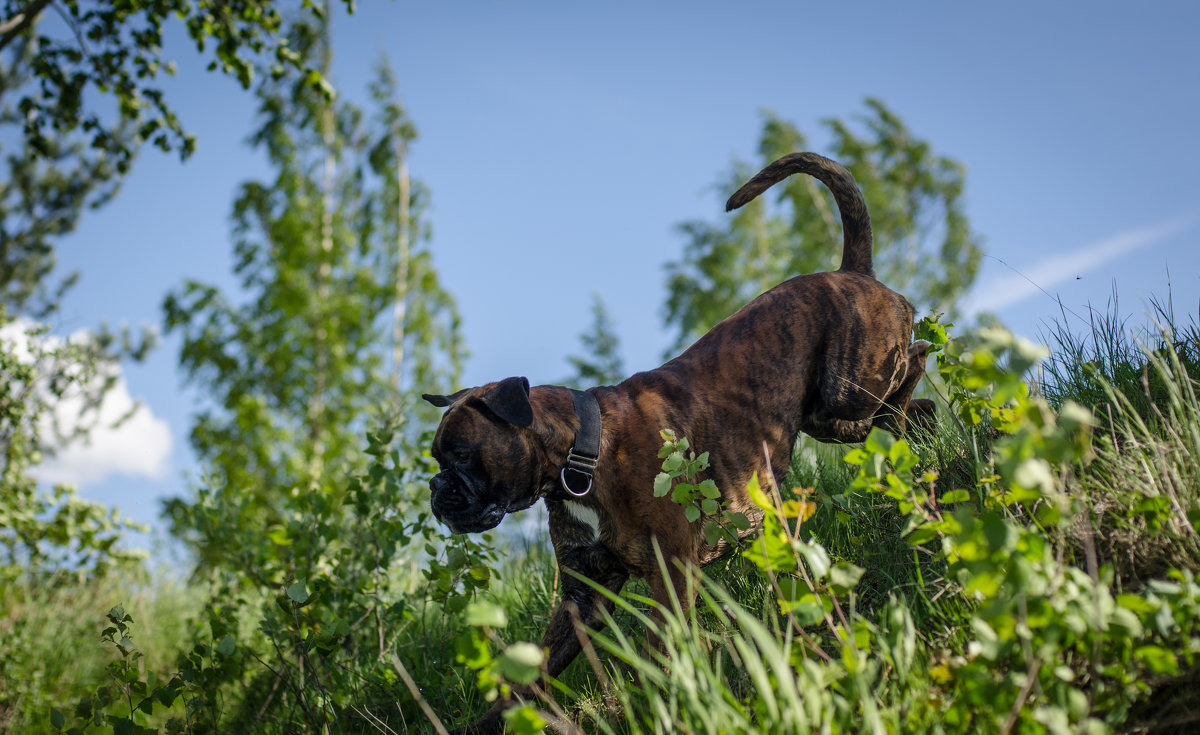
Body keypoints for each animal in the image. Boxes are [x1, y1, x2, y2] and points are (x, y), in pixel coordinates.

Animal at [427, 151, 931, 730]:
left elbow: (662, 654)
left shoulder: (670, 576)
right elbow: (525, 681)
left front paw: (664, 703)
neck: (582, 458)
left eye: (461, 455)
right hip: (840, 415)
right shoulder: (582, 596)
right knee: (911, 409)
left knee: (915, 360)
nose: (437, 491)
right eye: (438, 460)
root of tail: (851, 273)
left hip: (847, 398)